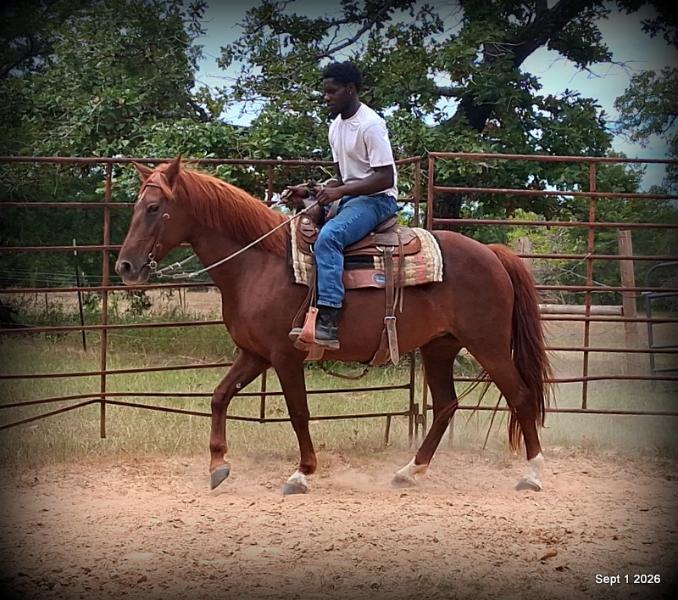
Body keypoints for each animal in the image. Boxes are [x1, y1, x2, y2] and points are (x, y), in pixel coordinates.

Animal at [115, 156, 552, 495]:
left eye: (154, 207)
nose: (126, 266)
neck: (258, 264)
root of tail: (494, 254)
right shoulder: (254, 354)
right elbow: (220, 396)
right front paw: (218, 466)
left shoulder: (285, 355)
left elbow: (298, 412)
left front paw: (302, 473)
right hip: (440, 346)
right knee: (446, 405)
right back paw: (409, 472)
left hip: (489, 344)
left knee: (521, 396)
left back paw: (532, 474)